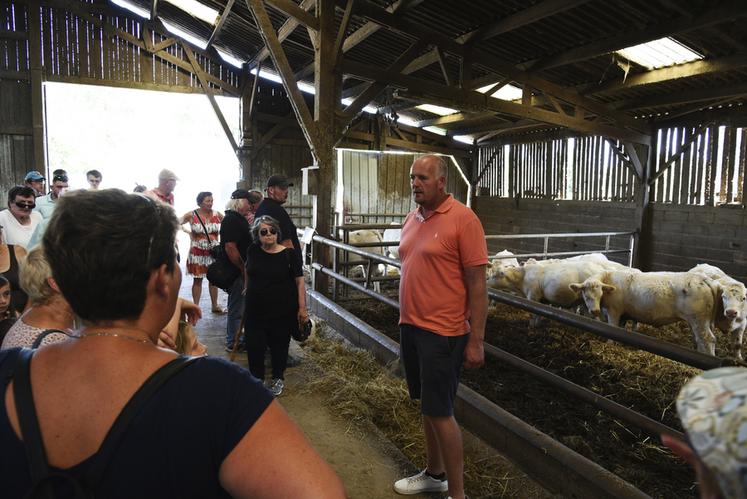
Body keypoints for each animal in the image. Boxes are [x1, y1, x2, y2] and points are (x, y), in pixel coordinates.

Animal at [572, 272, 720, 358]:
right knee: (699, 339)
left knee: (708, 339)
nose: (595, 311)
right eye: (586, 296)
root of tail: (704, 279)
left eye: (600, 294)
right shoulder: (623, 315)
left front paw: (609, 344)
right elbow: (620, 329)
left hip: (698, 319)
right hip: (698, 321)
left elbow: (612, 328)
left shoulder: (614, 310)